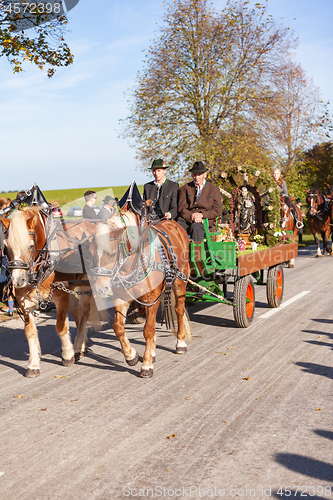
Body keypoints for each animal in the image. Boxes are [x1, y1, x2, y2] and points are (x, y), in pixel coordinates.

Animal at [0, 205, 101, 376]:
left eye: (30, 246)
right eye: (6, 247)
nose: (17, 281)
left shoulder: (60, 296)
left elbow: (60, 327)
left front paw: (67, 355)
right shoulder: (25, 302)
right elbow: (30, 332)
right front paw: (33, 364)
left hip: (86, 282)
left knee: (85, 311)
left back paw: (78, 346)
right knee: (78, 312)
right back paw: (82, 345)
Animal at [89, 208, 191, 378]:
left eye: (112, 254)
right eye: (91, 254)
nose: (100, 288)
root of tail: (173, 224)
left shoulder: (152, 299)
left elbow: (148, 330)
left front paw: (146, 365)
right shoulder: (121, 298)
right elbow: (118, 327)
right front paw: (132, 356)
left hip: (180, 281)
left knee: (179, 310)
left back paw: (180, 343)